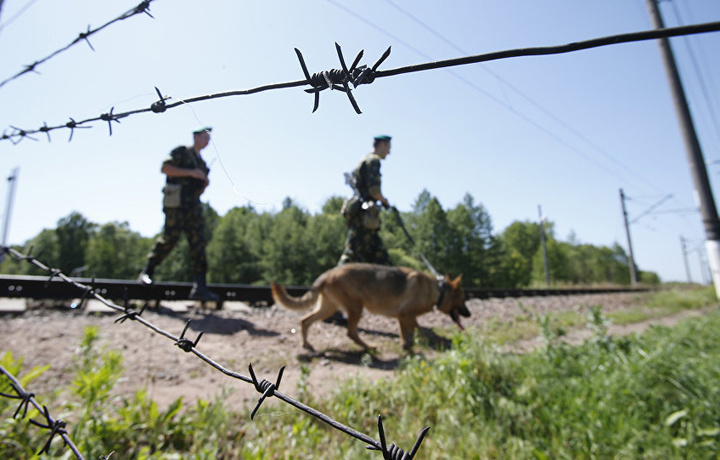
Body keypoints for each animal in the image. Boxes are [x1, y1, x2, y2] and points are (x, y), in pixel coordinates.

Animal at [268, 264, 466, 350]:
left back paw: (306, 344)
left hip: (328, 308)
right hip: (356, 308)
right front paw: (428, 343)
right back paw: (368, 347)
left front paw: (407, 346)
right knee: (351, 332)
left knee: (305, 320)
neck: (438, 290)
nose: (469, 314)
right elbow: (420, 331)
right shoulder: (407, 315)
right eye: (463, 300)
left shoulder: (402, 317)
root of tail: (327, 274)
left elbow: (406, 334)